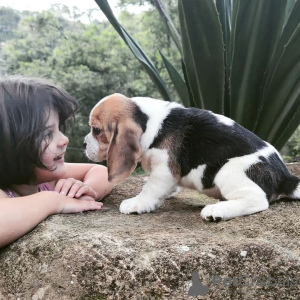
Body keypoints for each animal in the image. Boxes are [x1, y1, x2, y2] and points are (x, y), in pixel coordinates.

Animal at [84, 93, 300, 220]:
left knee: (257, 200)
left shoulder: (164, 169)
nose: (85, 143)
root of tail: (285, 176)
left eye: (97, 130)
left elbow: (150, 188)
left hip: (227, 171)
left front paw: (138, 203)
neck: (148, 120)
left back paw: (216, 211)